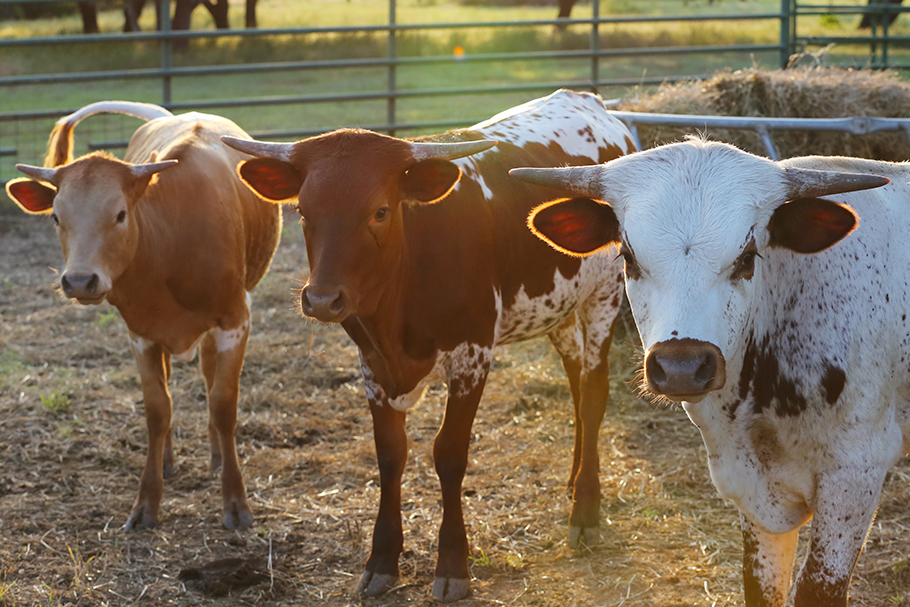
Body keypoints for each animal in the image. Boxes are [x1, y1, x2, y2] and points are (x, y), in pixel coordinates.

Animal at [6, 101, 281, 532]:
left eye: (120, 214)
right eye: (55, 217)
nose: (79, 280)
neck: (172, 242)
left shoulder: (236, 320)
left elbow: (222, 404)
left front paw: (235, 501)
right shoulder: (140, 332)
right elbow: (157, 410)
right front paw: (147, 502)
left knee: (209, 375)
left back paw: (217, 455)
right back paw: (168, 460)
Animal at [220, 89, 637, 601]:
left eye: (380, 211)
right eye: (303, 212)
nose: (321, 299)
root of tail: (587, 100)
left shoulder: (473, 356)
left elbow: (449, 454)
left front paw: (454, 564)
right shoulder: (373, 365)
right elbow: (390, 454)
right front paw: (382, 559)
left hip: (604, 294)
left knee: (594, 392)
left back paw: (586, 510)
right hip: (558, 305)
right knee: (577, 384)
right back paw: (575, 481)